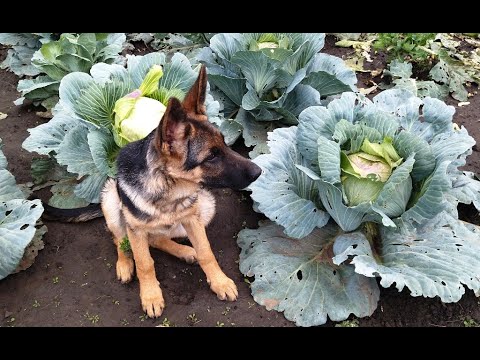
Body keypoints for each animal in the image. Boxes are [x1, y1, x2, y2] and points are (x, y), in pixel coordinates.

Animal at [47, 65, 260, 318]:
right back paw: (125, 264)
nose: (259, 171)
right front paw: (150, 295)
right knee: (120, 239)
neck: (169, 189)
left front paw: (219, 281)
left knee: (158, 239)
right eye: (211, 156)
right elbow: (145, 263)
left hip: (206, 206)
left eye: (225, 144)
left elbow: (206, 252)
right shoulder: (136, 229)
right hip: (111, 199)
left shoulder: (193, 219)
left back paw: (184, 250)